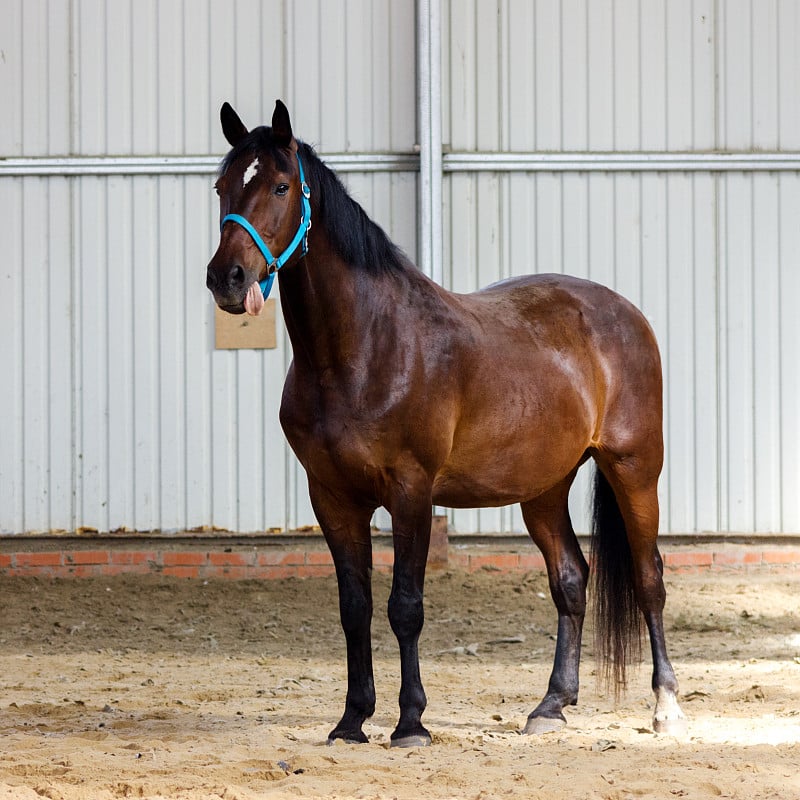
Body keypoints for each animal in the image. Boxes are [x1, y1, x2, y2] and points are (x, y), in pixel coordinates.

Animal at [206, 100, 688, 744]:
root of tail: (625, 313)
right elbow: (354, 607)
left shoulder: (411, 491)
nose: (227, 278)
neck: (363, 349)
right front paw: (352, 720)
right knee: (570, 579)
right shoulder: (332, 497)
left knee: (647, 576)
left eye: (281, 186)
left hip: (633, 469)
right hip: (543, 488)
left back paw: (666, 706)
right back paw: (551, 705)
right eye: (222, 187)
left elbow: (405, 605)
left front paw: (411, 721)